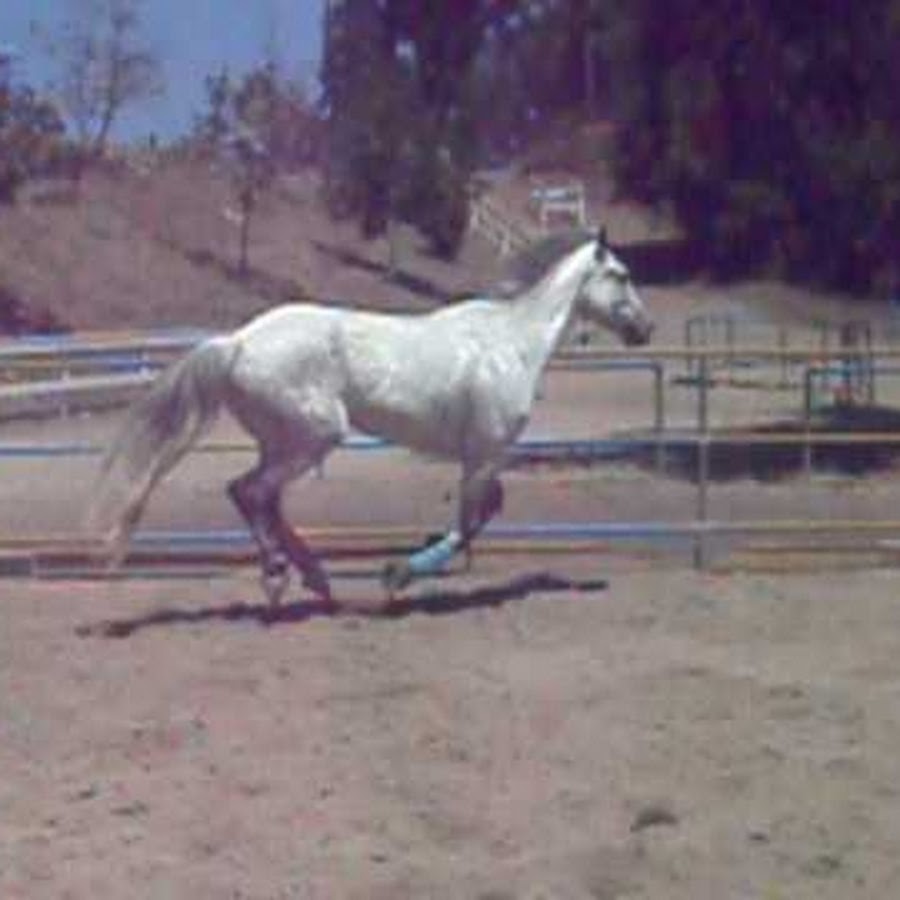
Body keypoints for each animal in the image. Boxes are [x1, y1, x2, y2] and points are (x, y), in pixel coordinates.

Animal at [90, 228, 653, 607]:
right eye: (621, 275)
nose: (645, 329)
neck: (511, 344)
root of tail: (238, 342)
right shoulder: (486, 452)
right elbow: (472, 520)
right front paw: (399, 574)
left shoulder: (483, 455)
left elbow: (482, 514)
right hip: (315, 436)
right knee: (249, 492)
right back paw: (281, 574)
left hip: (283, 442)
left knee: (263, 497)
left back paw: (313, 578)